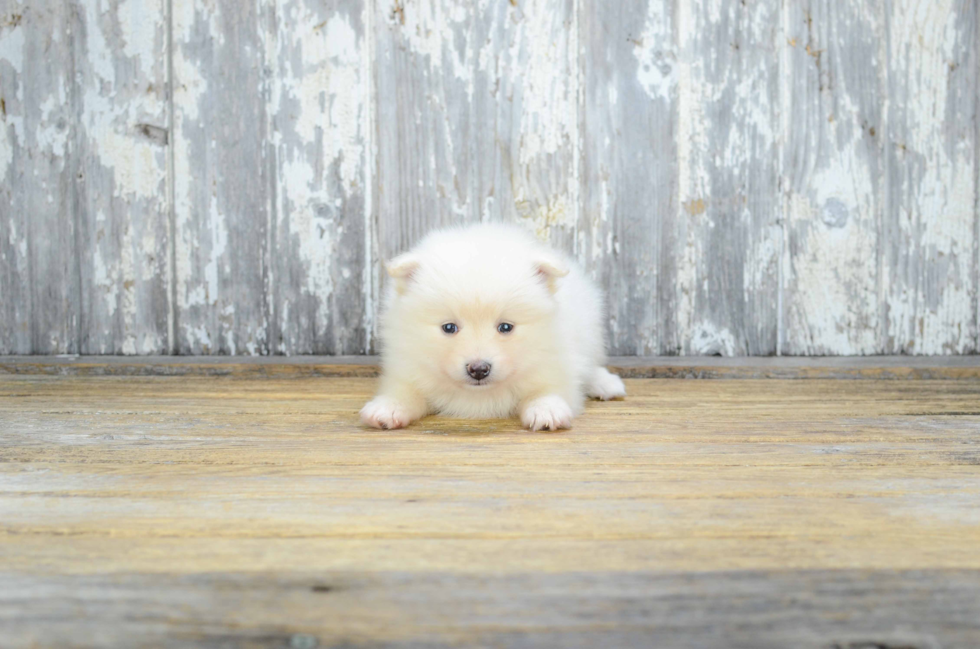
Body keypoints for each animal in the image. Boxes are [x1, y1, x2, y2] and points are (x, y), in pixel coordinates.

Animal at [360, 223, 628, 430]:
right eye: (449, 328)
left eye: (505, 327)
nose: (478, 369)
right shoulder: (408, 365)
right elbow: (405, 391)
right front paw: (387, 408)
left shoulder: (555, 361)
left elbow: (549, 388)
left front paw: (546, 409)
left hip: (588, 332)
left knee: (591, 365)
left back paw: (605, 383)